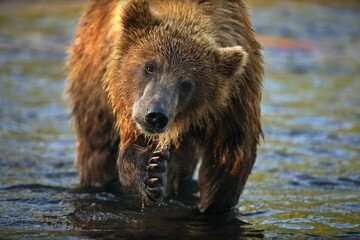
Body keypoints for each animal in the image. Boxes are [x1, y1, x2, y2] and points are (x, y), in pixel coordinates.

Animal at [67, 0, 264, 214]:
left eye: (187, 84)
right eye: (149, 67)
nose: (155, 115)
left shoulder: (233, 102)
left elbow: (229, 158)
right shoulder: (127, 104)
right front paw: (152, 172)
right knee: (96, 147)